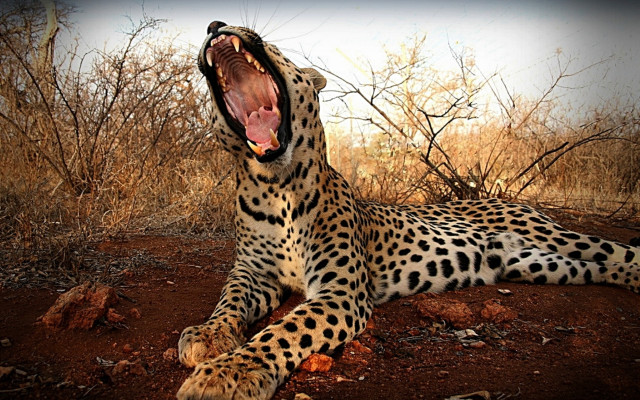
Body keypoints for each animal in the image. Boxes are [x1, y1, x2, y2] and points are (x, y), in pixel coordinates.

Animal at [177, 21, 640, 399]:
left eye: (276, 48)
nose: (215, 24)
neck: (276, 187)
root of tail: (509, 200)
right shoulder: (254, 271)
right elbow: (230, 297)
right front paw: (207, 336)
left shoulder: (340, 291)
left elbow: (286, 329)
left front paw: (229, 373)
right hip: (539, 263)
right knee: (596, 266)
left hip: (555, 236)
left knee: (618, 250)